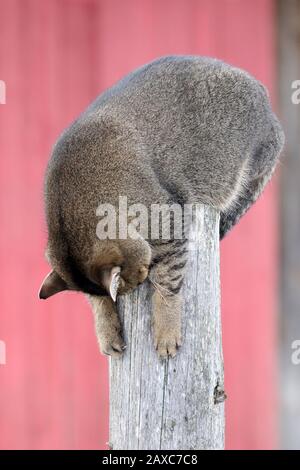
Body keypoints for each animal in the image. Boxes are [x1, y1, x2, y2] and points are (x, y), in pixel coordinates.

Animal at [38, 55, 284, 358]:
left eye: (133, 282)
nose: (142, 278)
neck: (69, 205)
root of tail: (265, 99)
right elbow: (97, 299)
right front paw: (106, 329)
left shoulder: (170, 222)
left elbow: (168, 284)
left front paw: (166, 331)